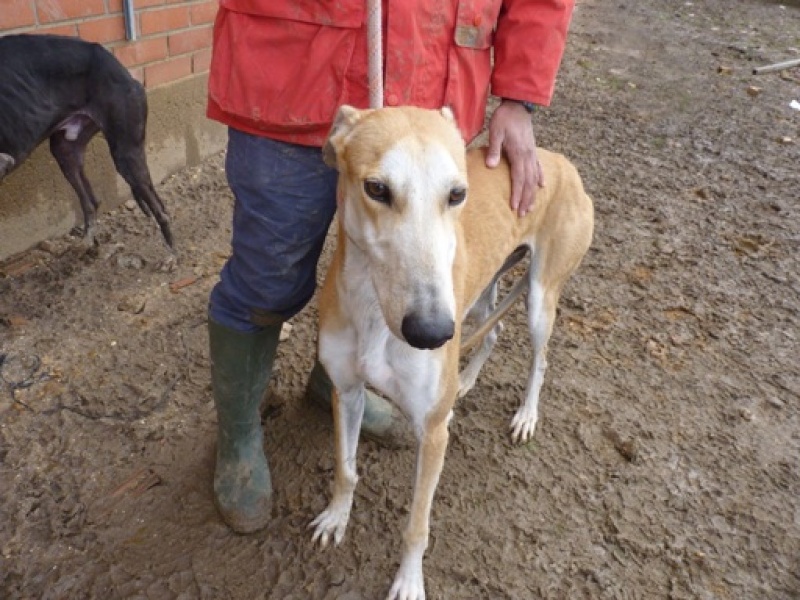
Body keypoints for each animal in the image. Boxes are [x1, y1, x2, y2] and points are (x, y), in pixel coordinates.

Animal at [0, 35, 174, 247]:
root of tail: (120, 67)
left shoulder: (3, 162)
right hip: (66, 151)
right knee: (91, 202)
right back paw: (88, 244)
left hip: (126, 152)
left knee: (160, 209)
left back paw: (172, 251)